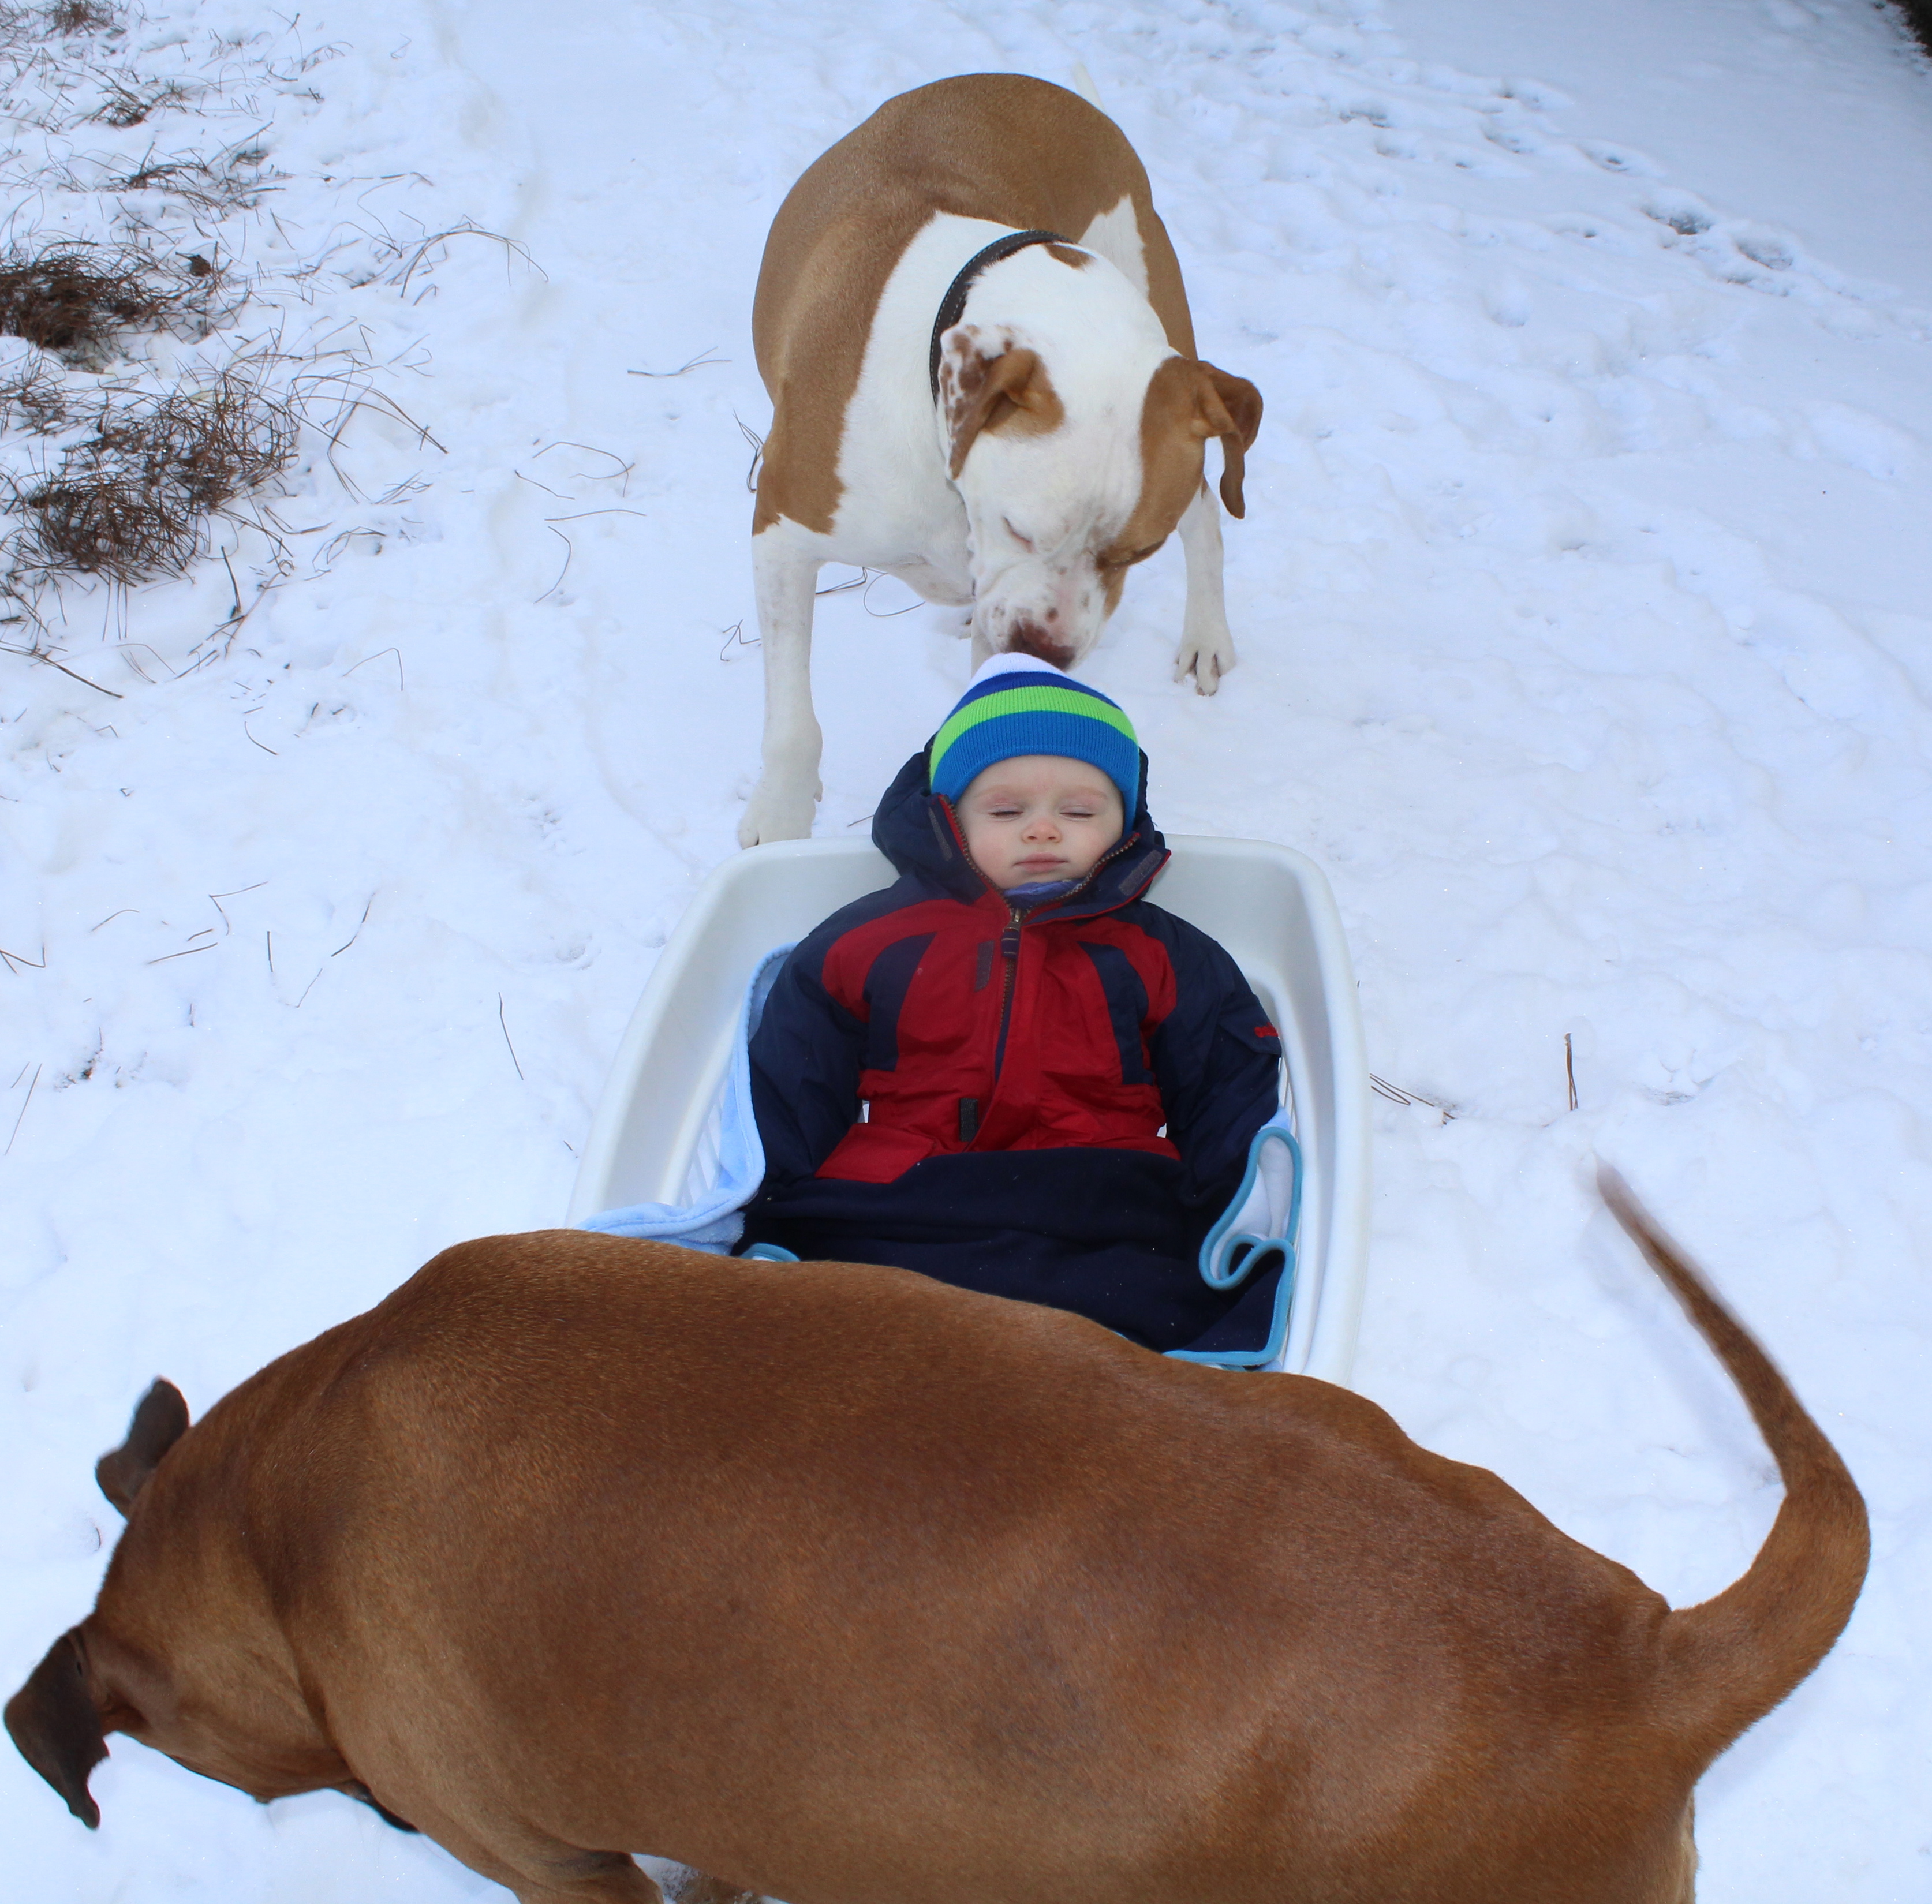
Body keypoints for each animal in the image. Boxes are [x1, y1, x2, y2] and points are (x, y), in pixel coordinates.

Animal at [739, 73, 1264, 845]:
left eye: (1133, 555)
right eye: (1018, 528)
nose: (1045, 652)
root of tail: (1048, 91)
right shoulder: (782, 527)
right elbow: (790, 720)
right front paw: (778, 814)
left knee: (1205, 508)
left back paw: (1205, 636)